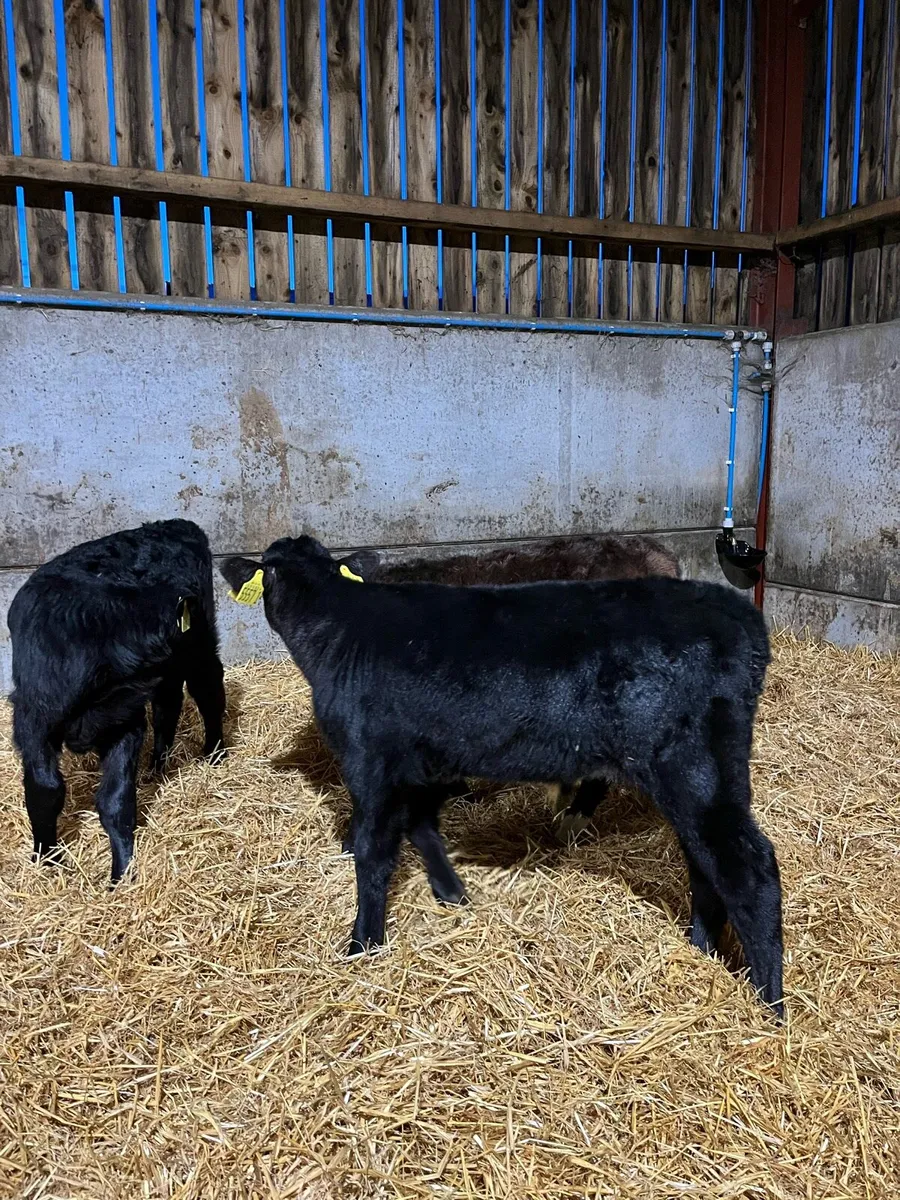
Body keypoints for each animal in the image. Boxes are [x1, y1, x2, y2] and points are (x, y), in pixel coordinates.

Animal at [8, 519, 226, 882]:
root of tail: (175, 524)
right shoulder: (33, 721)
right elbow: (44, 790)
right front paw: (46, 859)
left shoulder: (124, 723)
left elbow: (115, 800)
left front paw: (122, 872)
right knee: (169, 706)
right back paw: (157, 767)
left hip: (200, 650)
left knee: (208, 691)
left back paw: (215, 752)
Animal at [221, 535, 783, 1015]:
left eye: (268, 571)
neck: (340, 629)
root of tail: (740, 616)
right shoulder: (422, 761)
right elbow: (422, 828)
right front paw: (452, 893)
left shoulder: (371, 761)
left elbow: (372, 852)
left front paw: (363, 942)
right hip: (702, 776)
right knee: (706, 859)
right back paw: (700, 949)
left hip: (693, 764)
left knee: (750, 868)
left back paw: (769, 1003)